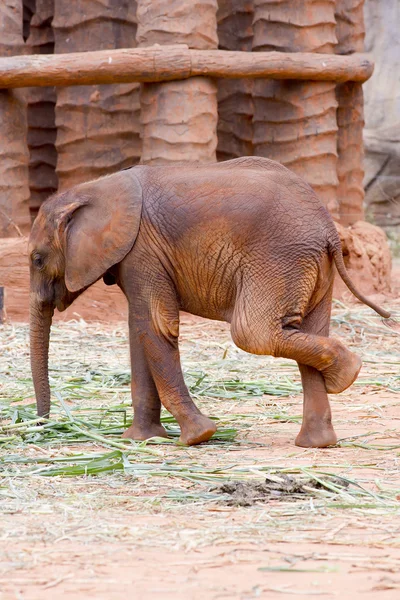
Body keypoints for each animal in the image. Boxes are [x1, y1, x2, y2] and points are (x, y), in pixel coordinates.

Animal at [28, 157, 390, 448]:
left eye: (37, 260)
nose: (43, 423)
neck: (95, 188)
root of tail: (329, 229)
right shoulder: (136, 257)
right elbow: (139, 330)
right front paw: (142, 440)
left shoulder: (143, 252)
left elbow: (157, 326)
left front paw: (197, 437)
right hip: (309, 265)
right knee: (308, 329)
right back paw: (319, 439)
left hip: (280, 259)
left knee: (252, 333)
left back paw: (347, 374)